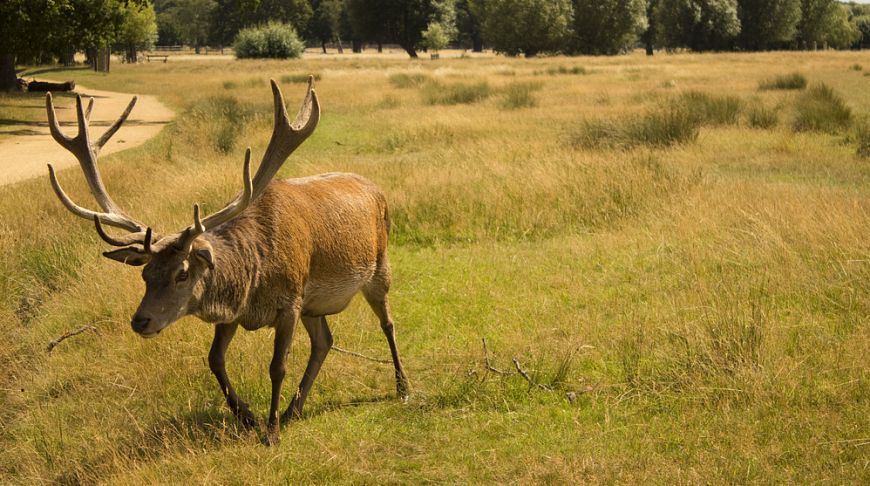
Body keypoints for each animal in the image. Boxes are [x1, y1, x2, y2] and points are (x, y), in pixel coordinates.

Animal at [46, 78, 412, 446]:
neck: (254, 279)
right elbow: (215, 360)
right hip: (314, 305)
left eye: (182, 274)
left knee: (388, 323)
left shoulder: (290, 301)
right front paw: (247, 416)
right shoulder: (235, 312)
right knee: (324, 341)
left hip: (379, 269)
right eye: (145, 274)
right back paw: (294, 409)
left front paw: (271, 431)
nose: (140, 321)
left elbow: (277, 366)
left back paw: (402, 387)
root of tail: (374, 187)